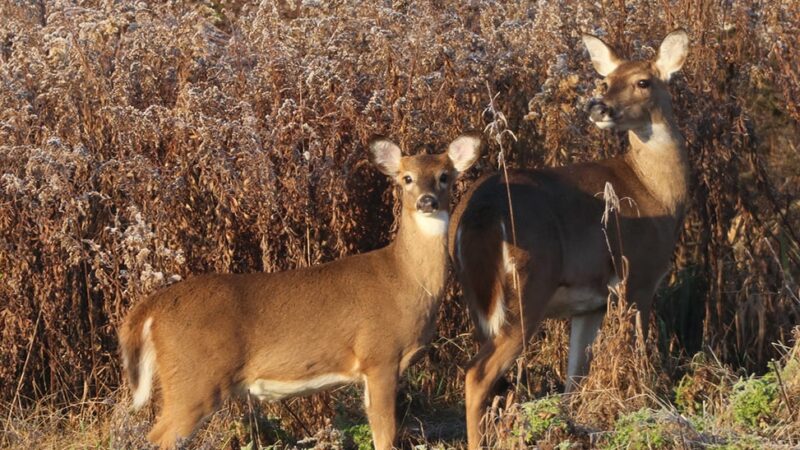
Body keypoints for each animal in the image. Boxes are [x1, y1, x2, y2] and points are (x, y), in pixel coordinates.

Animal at [119, 132, 482, 448]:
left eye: (445, 176)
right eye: (406, 178)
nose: (427, 201)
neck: (404, 280)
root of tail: (152, 308)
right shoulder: (379, 355)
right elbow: (384, 436)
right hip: (193, 378)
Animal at [446, 29, 692, 448]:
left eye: (643, 81)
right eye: (605, 82)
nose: (598, 106)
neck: (655, 190)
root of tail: (481, 212)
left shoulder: (589, 304)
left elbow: (574, 377)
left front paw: (568, 425)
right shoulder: (640, 278)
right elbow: (641, 357)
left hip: (478, 297)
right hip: (528, 287)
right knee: (477, 373)